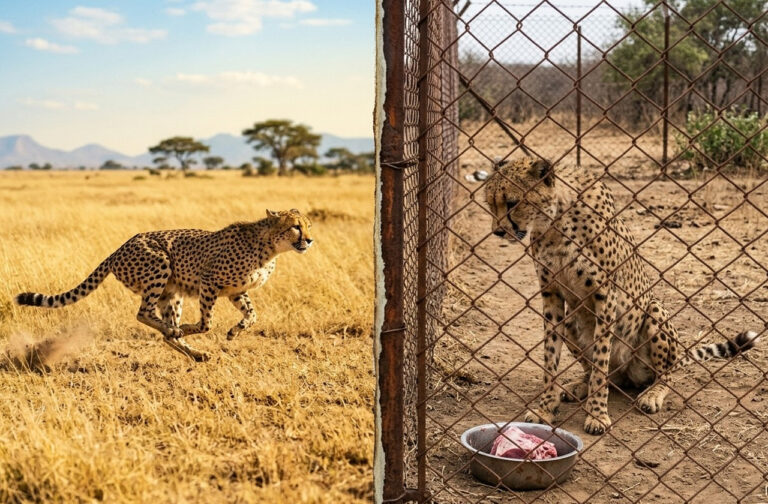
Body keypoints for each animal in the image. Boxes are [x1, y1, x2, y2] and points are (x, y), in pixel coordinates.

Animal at [15, 209, 313, 363]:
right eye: (296, 227)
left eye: (309, 226)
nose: (309, 240)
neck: (269, 248)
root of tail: (119, 247)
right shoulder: (208, 280)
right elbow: (207, 323)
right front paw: (195, 327)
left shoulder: (237, 291)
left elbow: (252, 315)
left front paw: (234, 332)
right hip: (160, 265)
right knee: (144, 313)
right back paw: (175, 330)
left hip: (172, 292)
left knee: (163, 331)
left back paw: (193, 351)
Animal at [484, 156, 760, 435]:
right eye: (490, 204)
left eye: (513, 202)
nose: (498, 232)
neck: (556, 221)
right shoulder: (551, 295)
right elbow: (551, 358)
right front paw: (545, 409)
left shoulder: (605, 296)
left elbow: (600, 358)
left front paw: (596, 415)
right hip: (572, 321)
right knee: (602, 373)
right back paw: (579, 386)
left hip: (654, 311)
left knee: (664, 375)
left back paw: (651, 394)